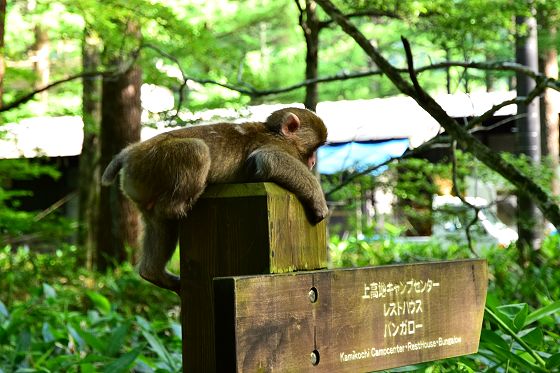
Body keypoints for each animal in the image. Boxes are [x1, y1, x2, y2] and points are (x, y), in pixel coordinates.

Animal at [101, 107, 328, 294]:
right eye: (313, 150)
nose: (313, 162)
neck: (275, 133)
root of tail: (131, 152)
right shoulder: (276, 146)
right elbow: (268, 159)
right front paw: (319, 200)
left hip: (142, 182)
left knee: (158, 221)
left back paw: (152, 273)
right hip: (154, 162)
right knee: (197, 151)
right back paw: (181, 205)